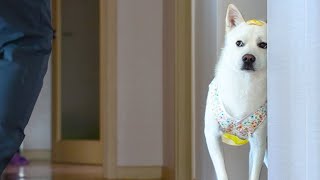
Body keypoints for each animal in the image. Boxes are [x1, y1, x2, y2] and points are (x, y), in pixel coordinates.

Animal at [205, 4, 268, 180]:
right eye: (239, 43)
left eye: (263, 45)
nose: (248, 57)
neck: (244, 84)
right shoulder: (211, 136)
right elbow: (222, 172)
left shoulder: (259, 143)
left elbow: (254, 174)